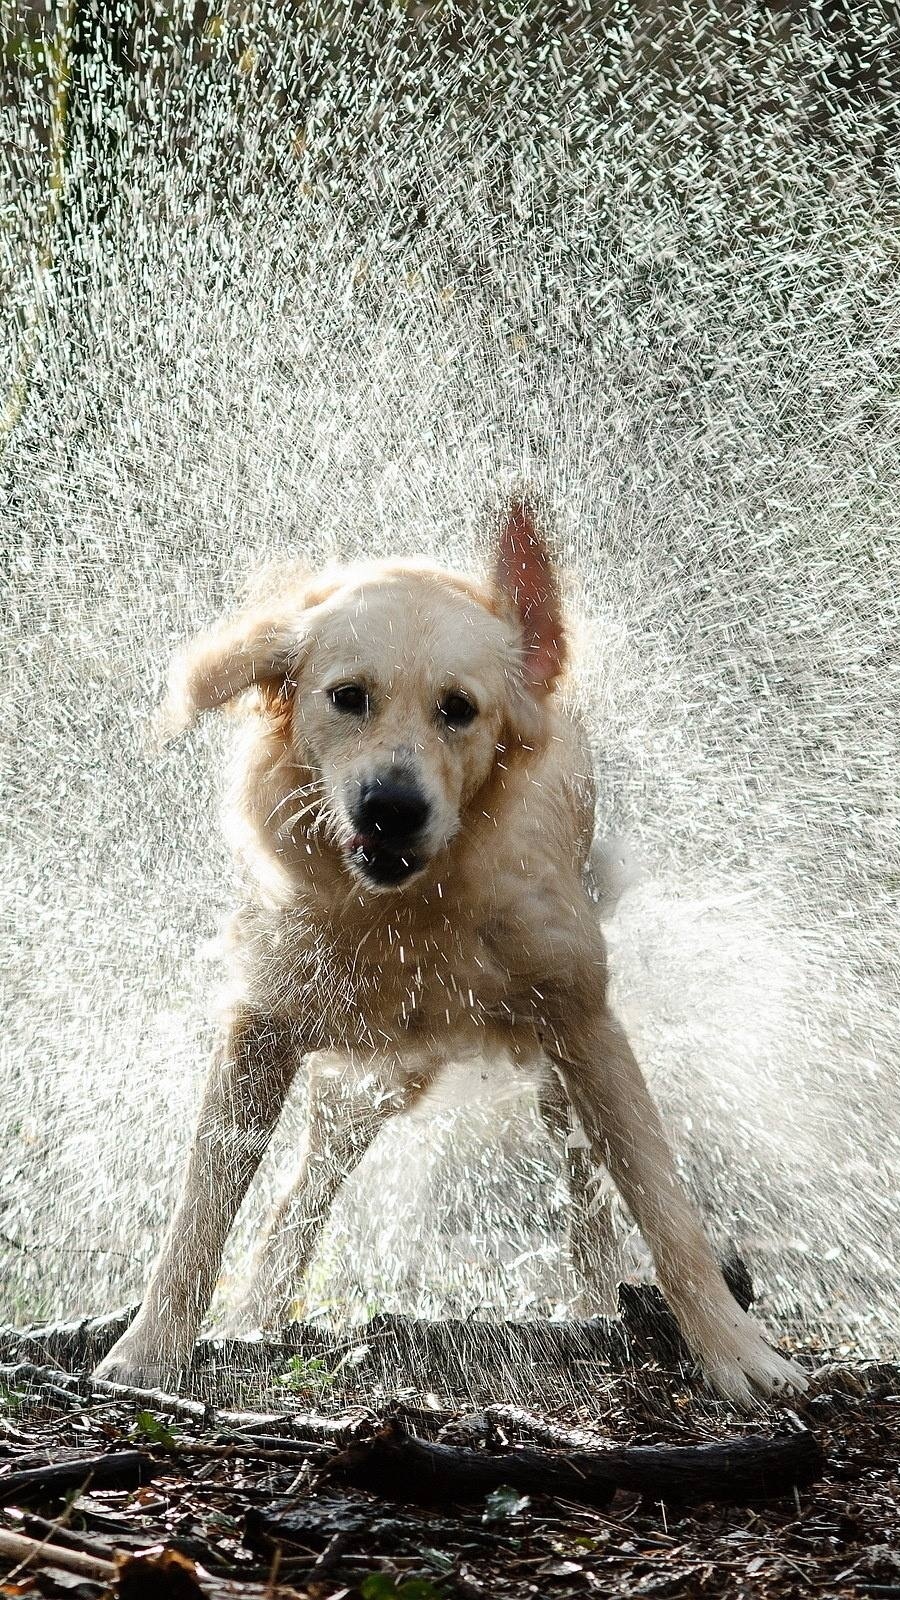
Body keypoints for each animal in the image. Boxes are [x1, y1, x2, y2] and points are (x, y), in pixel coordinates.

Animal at [94, 496, 800, 1401]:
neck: (411, 912)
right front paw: (149, 1351)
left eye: (458, 708)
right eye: (348, 697)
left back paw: (595, 1302)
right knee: (304, 1193)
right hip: (369, 1080)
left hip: (549, 1070)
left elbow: (664, 1208)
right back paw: (258, 1313)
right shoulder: (259, 1029)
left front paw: (736, 1354)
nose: (391, 807)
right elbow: (198, 1216)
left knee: (585, 1187)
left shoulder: (585, 1024)